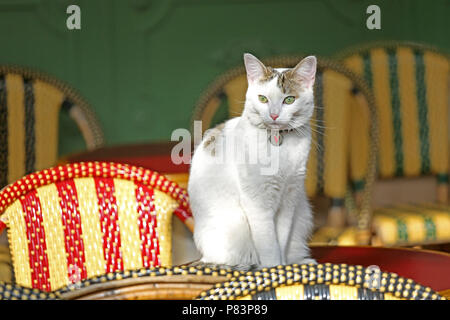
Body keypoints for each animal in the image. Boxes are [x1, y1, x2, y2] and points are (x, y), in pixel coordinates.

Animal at [188, 53, 318, 270]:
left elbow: (281, 240)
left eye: (289, 99)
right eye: (263, 98)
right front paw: (272, 268)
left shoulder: (289, 199)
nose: (274, 114)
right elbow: (269, 245)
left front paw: (282, 267)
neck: (279, 145)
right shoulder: (258, 203)